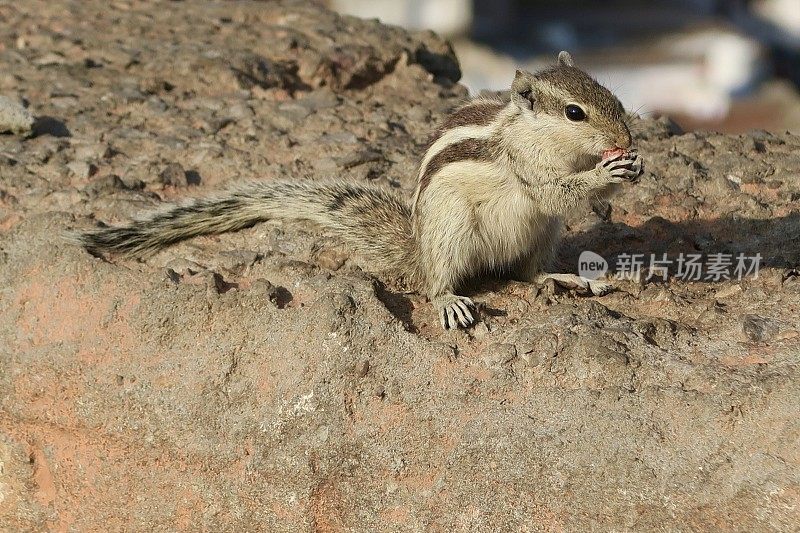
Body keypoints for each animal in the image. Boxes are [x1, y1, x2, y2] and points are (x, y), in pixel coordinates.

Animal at [76, 52, 644, 330]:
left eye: (610, 94)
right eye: (574, 112)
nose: (625, 137)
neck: (533, 133)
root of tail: (418, 249)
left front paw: (631, 167)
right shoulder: (527, 168)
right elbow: (553, 190)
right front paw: (605, 175)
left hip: (542, 235)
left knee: (528, 273)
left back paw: (566, 277)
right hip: (452, 234)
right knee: (438, 282)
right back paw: (450, 302)